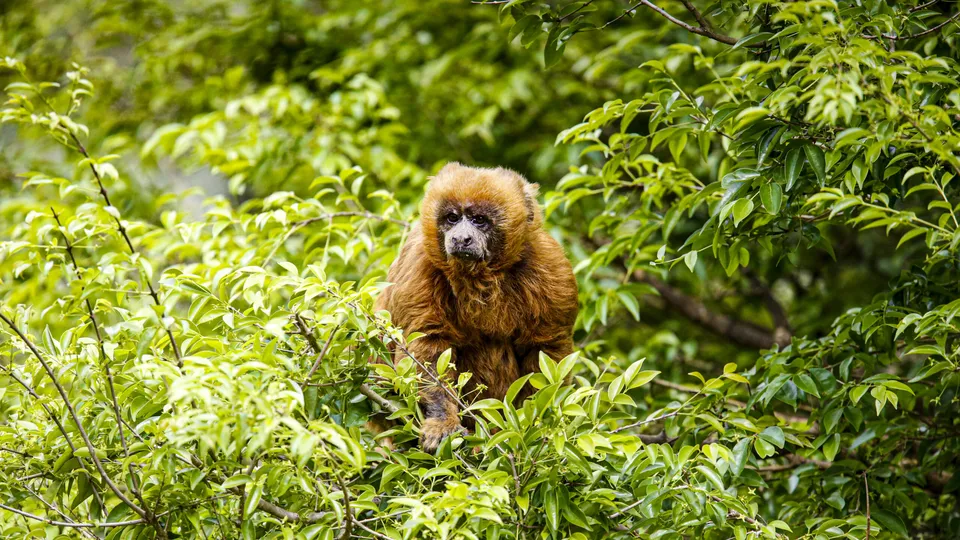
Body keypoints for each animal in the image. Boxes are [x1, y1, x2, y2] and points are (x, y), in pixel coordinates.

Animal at [368, 162, 576, 454]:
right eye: (453, 218)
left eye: (479, 220)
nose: (461, 238)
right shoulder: (419, 260)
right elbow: (427, 343)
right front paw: (442, 421)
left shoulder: (551, 265)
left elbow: (546, 351)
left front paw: (531, 427)